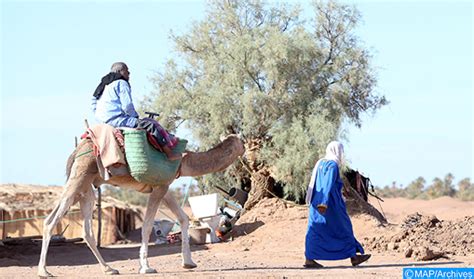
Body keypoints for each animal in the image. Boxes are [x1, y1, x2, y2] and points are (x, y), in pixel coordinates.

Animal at [37, 134, 244, 278]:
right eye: (241, 142)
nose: (246, 149)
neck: (183, 161)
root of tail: (76, 151)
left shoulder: (164, 186)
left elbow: (184, 218)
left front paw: (188, 262)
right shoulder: (159, 187)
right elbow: (146, 226)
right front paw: (146, 267)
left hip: (86, 188)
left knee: (85, 230)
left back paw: (109, 269)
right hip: (79, 177)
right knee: (50, 221)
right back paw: (44, 271)